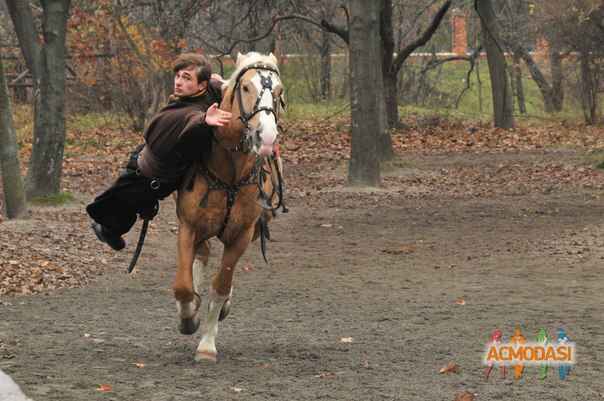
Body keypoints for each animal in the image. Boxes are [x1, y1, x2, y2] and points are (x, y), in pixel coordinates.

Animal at [170, 51, 284, 360]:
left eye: (279, 91)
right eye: (245, 87)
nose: (266, 136)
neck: (230, 170)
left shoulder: (242, 234)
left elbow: (221, 286)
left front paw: (207, 345)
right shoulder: (188, 226)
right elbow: (183, 286)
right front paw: (189, 316)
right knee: (202, 254)